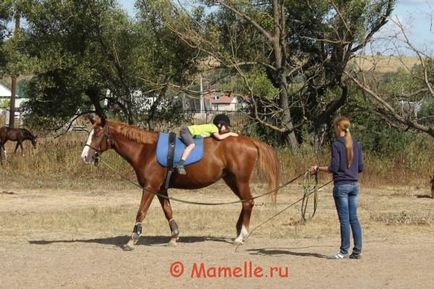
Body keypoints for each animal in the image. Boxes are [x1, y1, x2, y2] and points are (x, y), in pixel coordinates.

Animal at [79, 115, 280, 250]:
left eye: (97, 133)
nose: (85, 156)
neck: (146, 150)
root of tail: (250, 141)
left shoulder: (150, 187)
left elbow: (141, 211)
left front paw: (132, 239)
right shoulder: (160, 188)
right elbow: (168, 211)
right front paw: (174, 237)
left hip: (240, 180)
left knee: (248, 202)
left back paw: (241, 236)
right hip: (232, 180)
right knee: (245, 203)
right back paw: (239, 232)